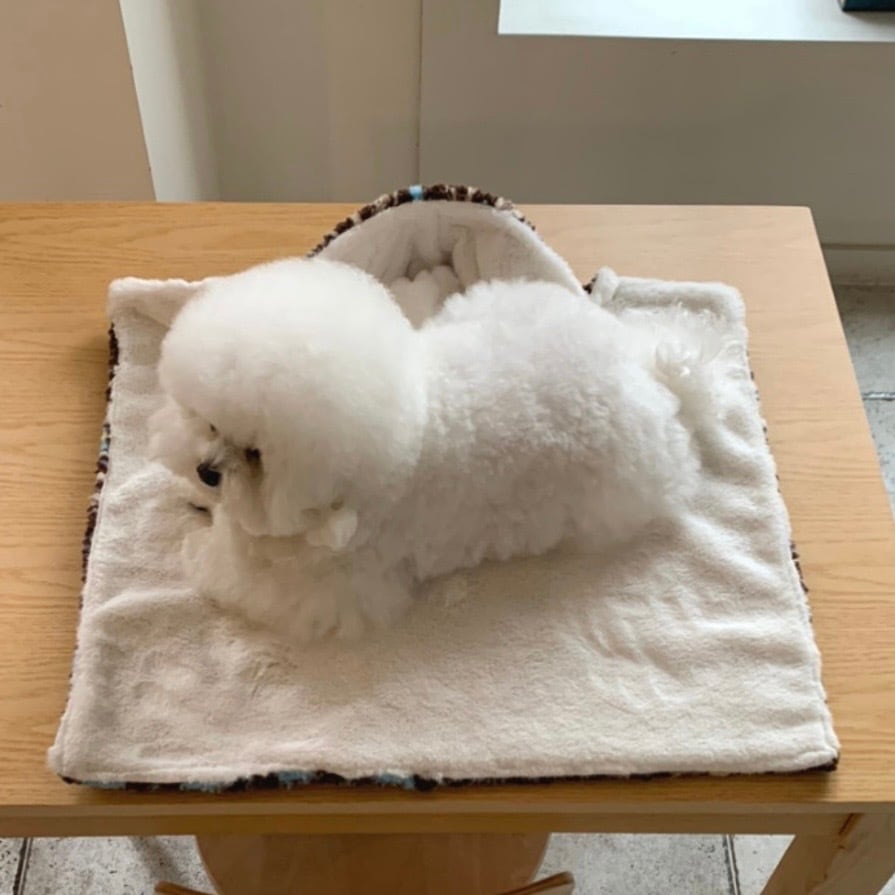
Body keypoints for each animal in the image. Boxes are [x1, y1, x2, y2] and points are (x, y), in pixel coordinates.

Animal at [151, 257, 720, 640]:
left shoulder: (335, 591)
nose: (207, 472)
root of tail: (647, 376)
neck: (412, 422)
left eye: (257, 456)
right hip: (493, 303)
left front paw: (199, 548)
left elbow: (238, 572)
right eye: (209, 422)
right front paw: (199, 501)